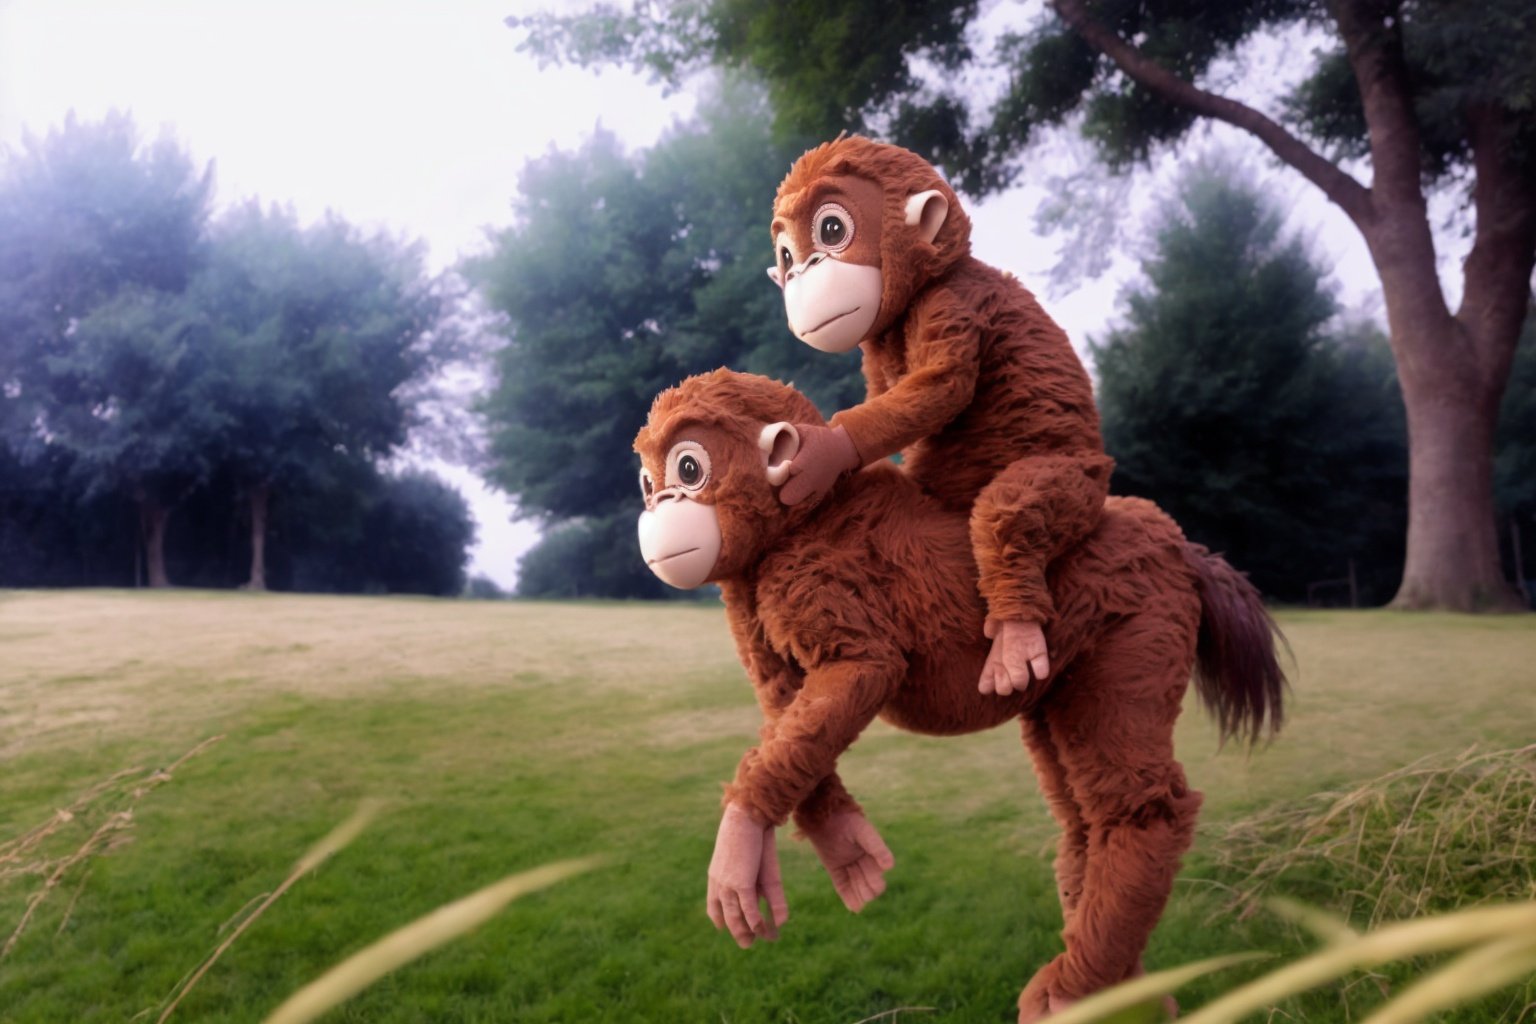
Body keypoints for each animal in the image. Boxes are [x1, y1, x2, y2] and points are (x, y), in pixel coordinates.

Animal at [629, 368, 1290, 1024]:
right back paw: (1121, 986)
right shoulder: (754, 611)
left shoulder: (818, 582)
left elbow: (860, 674)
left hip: (1139, 628)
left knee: (1139, 806)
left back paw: (1075, 981)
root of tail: (1182, 547)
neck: (800, 520)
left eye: (689, 468)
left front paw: (738, 840)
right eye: (647, 482)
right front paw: (843, 845)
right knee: (1080, 817)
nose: (657, 506)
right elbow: (787, 714)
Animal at [768, 134, 1118, 696]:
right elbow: (889, 395)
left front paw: (820, 453)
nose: (801, 270)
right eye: (785, 255)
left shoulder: (952, 303)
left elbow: (939, 387)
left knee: (1009, 509)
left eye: (832, 229)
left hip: (1076, 482)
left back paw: (1015, 636)